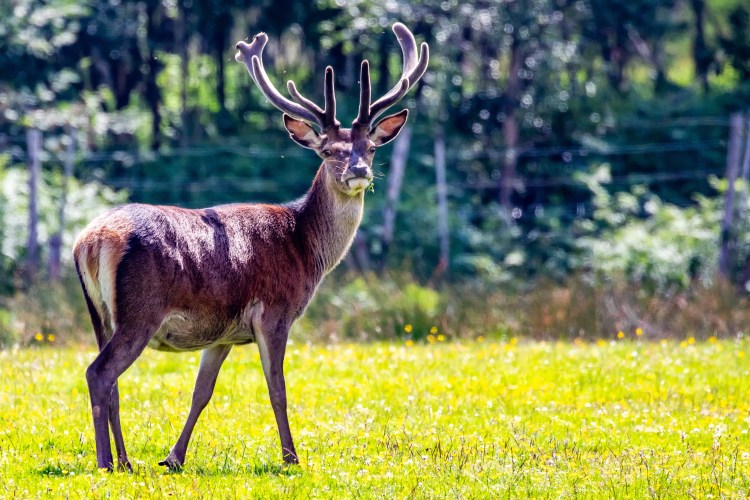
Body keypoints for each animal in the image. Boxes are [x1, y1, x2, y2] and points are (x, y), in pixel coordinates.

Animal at [73, 23, 428, 471]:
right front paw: (292, 457)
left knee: (112, 381)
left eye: (372, 147)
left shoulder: (222, 332)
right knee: (99, 373)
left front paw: (173, 458)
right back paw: (106, 462)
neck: (305, 247)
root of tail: (91, 241)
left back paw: (125, 461)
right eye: (329, 151)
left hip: (100, 313)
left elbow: (201, 393)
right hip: (141, 310)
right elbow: (278, 389)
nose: (360, 171)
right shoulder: (274, 311)